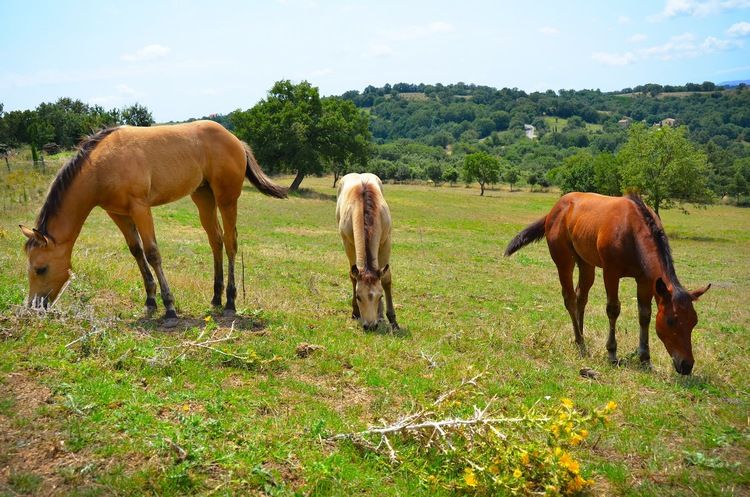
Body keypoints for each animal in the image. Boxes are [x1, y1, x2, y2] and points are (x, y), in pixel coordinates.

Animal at [20, 120, 287, 325]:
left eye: (40, 268)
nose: (34, 307)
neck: (101, 166)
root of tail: (235, 140)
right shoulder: (118, 214)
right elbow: (136, 252)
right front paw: (150, 301)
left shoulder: (140, 209)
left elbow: (152, 253)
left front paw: (169, 309)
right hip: (203, 197)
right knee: (216, 241)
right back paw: (216, 298)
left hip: (226, 198)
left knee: (231, 243)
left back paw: (230, 302)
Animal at [336, 173, 399, 331]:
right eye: (358, 297)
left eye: (380, 296)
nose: (370, 326)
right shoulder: (348, 243)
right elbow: (353, 276)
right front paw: (355, 312)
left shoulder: (386, 242)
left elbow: (385, 278)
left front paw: (393, 320)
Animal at [504, 192, 710, 375]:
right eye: (671, 321)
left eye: (694, 322)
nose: (686, 365)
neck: (632, 229)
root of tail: (554, 209)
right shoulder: (611, 273)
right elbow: (613, 309)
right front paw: (612, 353)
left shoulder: (645, 280)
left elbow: (644, 315)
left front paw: (645, 359)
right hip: (564, 261)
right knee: (570, 298)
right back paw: (581, 344)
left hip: (585, 263)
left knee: (581, 297)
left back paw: (579, 337)